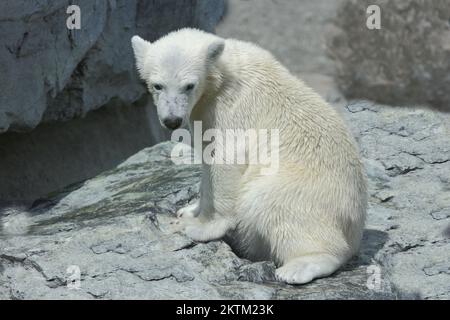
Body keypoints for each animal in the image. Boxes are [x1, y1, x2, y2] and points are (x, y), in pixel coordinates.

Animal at [131, 28, 370, 284]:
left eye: (189, 85)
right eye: (157, 85)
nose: (172, 120)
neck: (220, 75)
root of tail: (356, 225)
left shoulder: (231, 110)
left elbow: (227, 160)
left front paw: (201, 227)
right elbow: (206, 164)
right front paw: (189, 211)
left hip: (308, 191)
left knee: (270, 202)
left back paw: (299, 267)